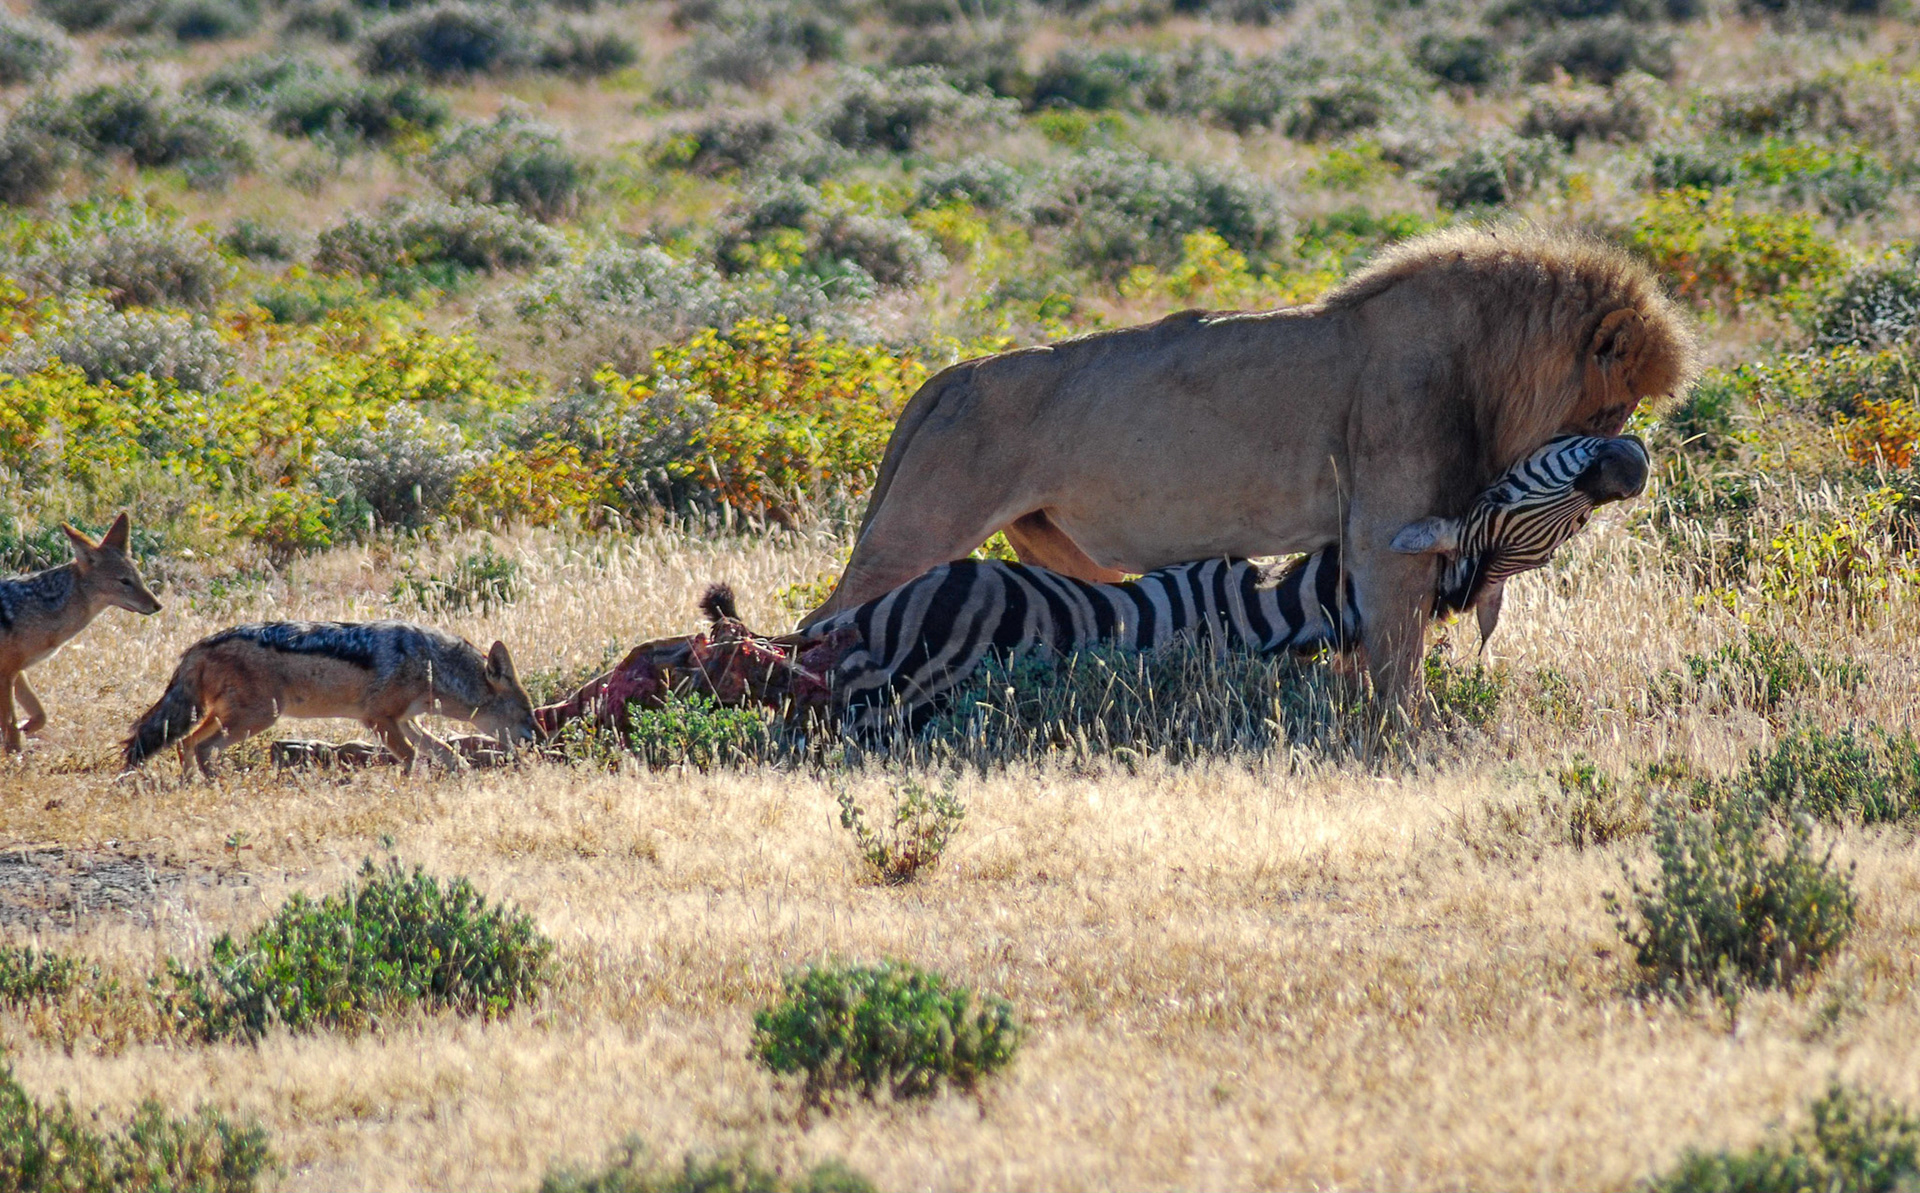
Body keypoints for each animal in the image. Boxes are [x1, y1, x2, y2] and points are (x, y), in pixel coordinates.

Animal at [803, 227, 1697, 709]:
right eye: (1612, 412)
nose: (1632, 464)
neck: (1491, 364)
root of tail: (952, 372)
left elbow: (1365, 649)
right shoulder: (1382, 530)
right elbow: (1399, 658)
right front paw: (1402, 739)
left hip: (1053, 543)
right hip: (921, 525)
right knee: (828, 619)